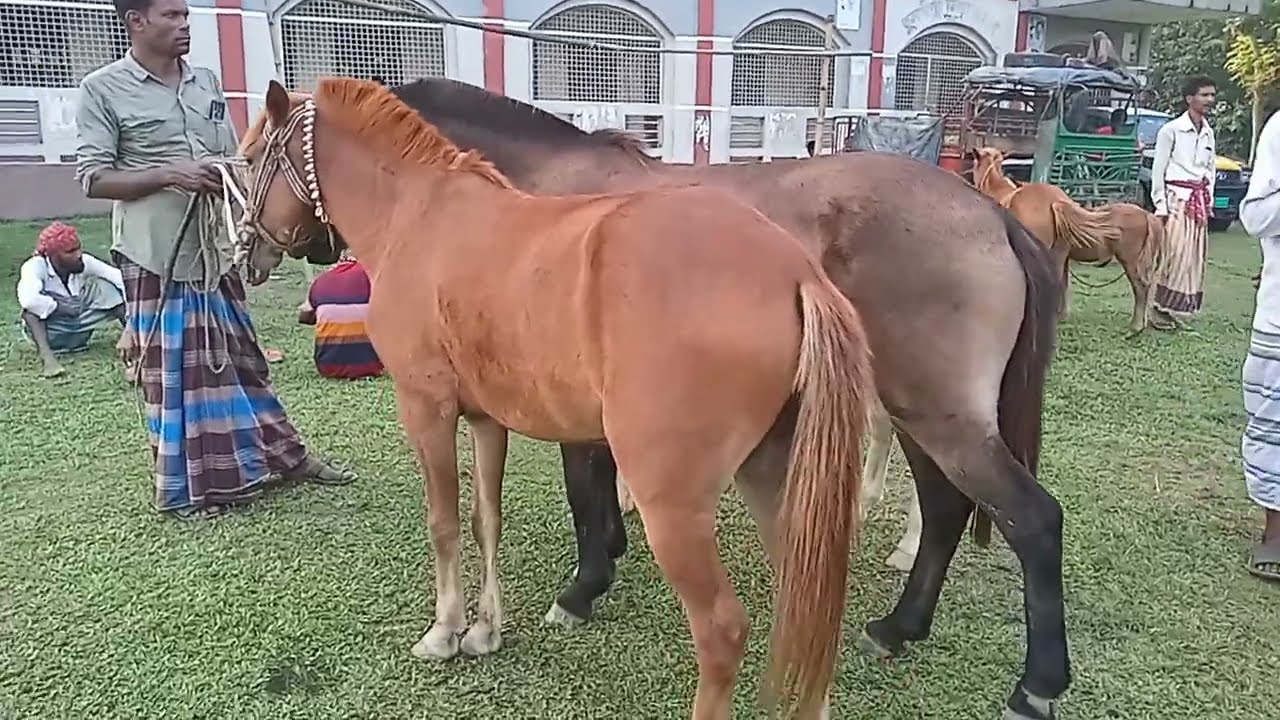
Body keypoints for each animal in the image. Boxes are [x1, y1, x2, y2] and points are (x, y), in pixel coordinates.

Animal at [238, 77, 876, 720]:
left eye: (249, 159)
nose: (246, 253)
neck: (419, 213)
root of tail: (796, 272)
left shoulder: (425, 407)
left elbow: (443, 520)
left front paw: (445, 631)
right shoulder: (486, 418)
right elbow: (484, 520)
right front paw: (485, 630)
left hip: (672, 502)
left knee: (722, 630)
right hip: (775, 473)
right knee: (808, 604)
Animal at [370, 78, 1069, 720]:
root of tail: (993, 216)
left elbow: (582, 487)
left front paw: (584, 586)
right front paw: (611, 552)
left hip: (939, 416)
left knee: (1031, 520)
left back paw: (1036, 685)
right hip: (922, 412)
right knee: (947, 509)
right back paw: (900, 627)